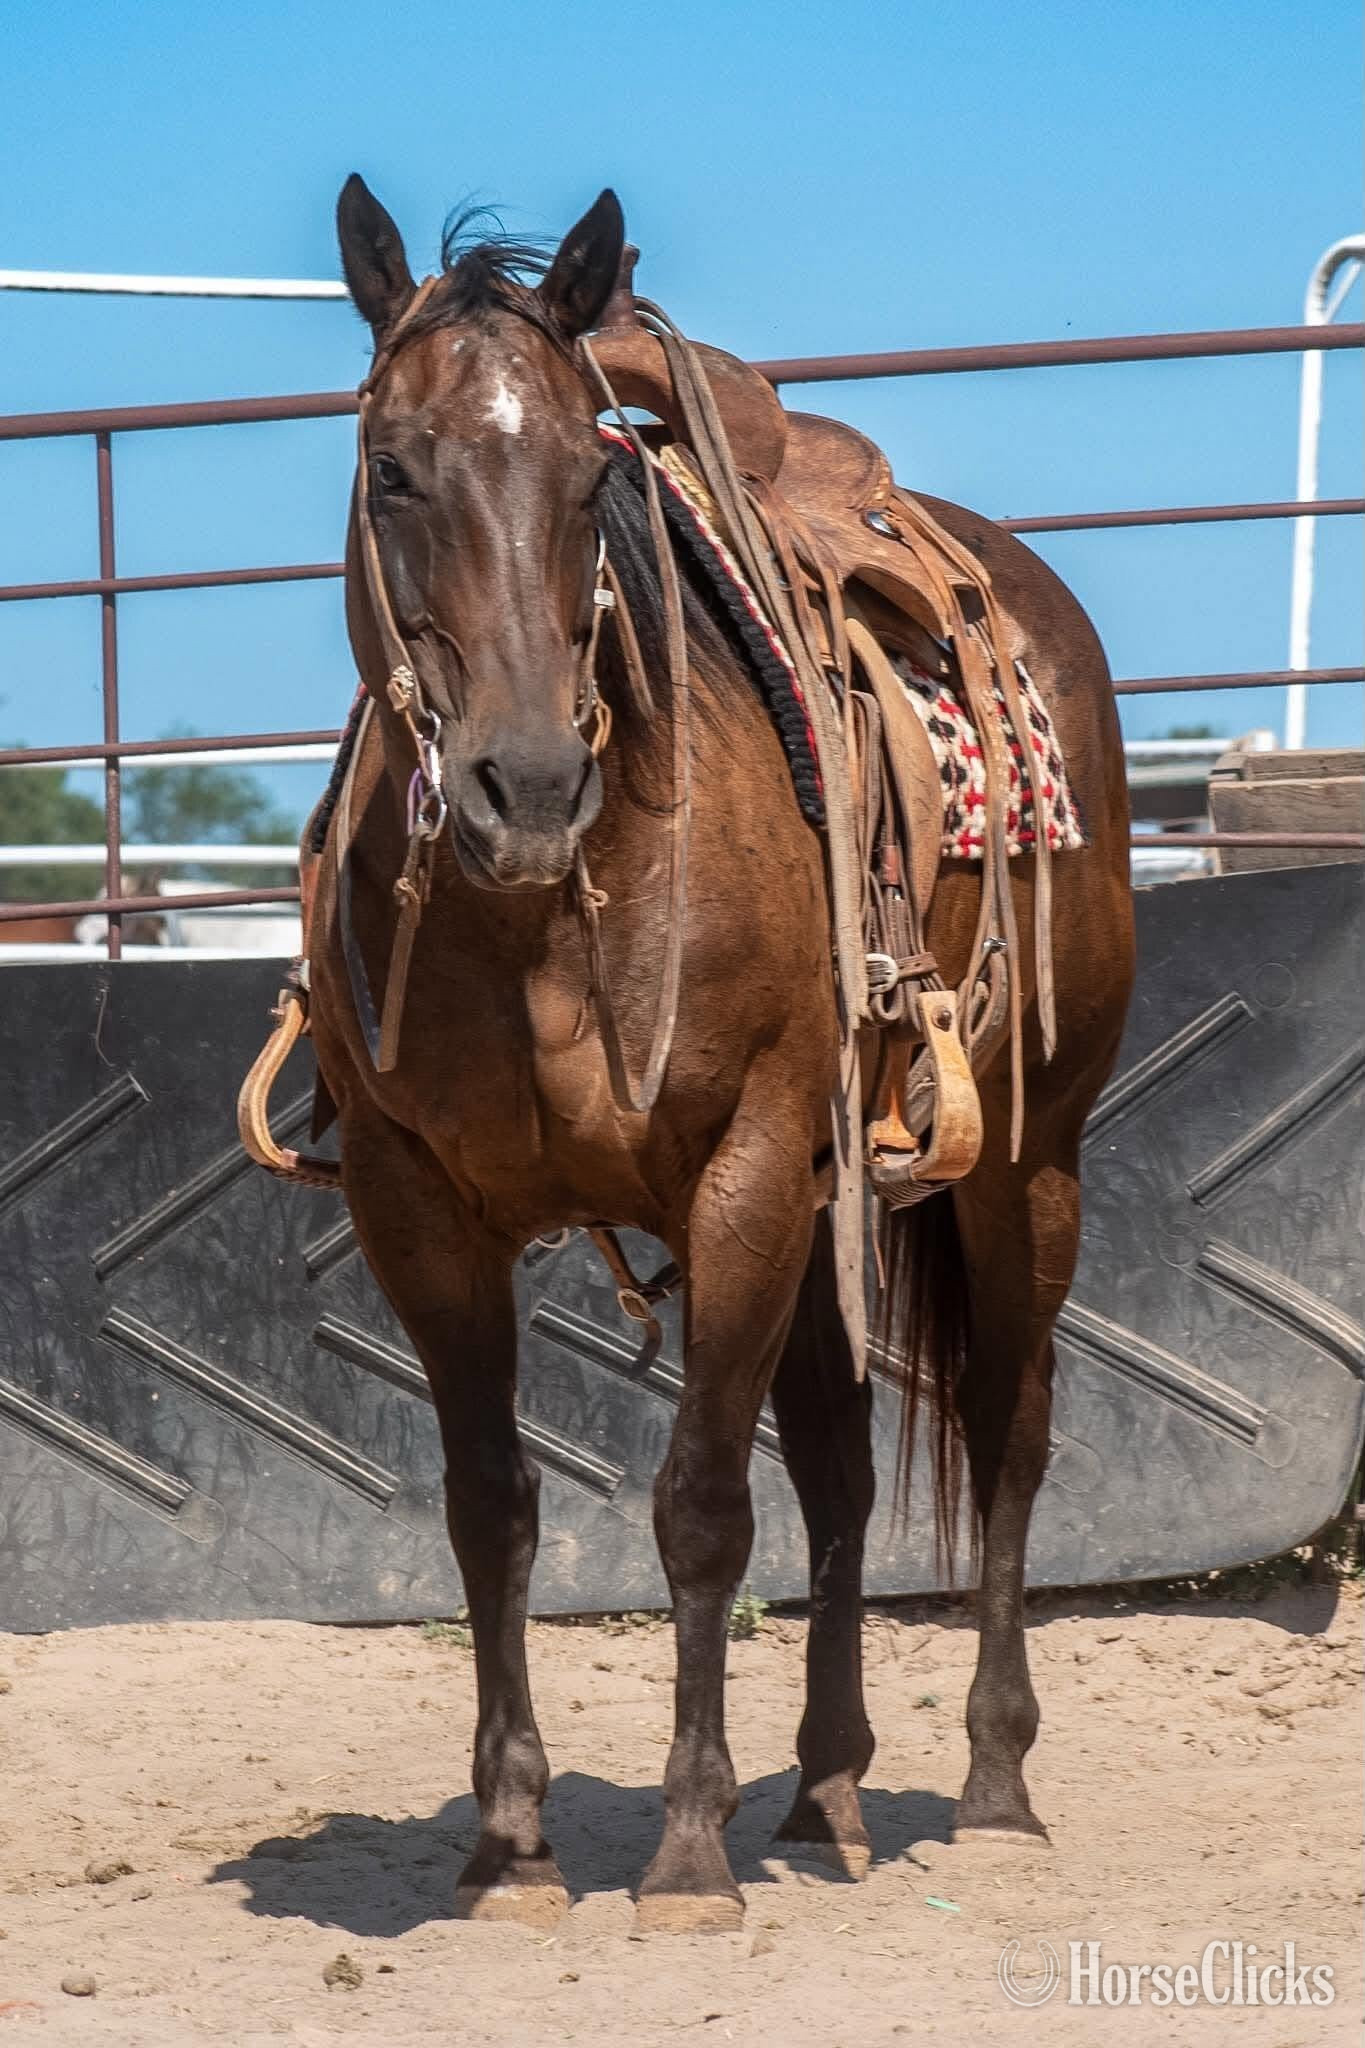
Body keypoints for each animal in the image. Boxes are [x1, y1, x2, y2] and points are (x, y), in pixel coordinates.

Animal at [302, 174, 1136, 1934]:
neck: (548, 913)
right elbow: (493, 1510)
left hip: (1026, 1165)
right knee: (836, 1469)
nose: (526, 785)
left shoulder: (743, 1170)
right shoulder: (417, 1210)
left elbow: (696, 1505)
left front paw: (684, 1854)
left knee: (1009, 1431)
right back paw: (826, 1790)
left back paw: (992, 1786)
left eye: (590, 471)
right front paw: (510, 1845)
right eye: (391, 466)